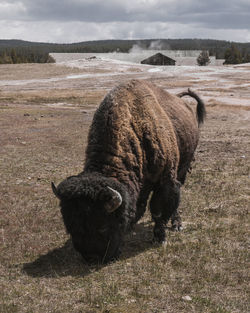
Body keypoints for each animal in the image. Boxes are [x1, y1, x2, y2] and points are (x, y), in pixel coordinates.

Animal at [51, 78, 206, 264]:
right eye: (70, 226)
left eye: (103, 227)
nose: (92, 258)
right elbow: (139, 206)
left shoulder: (165, 181)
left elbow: (158, 210)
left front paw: (159, 238)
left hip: (182, 169)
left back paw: (177, 224)